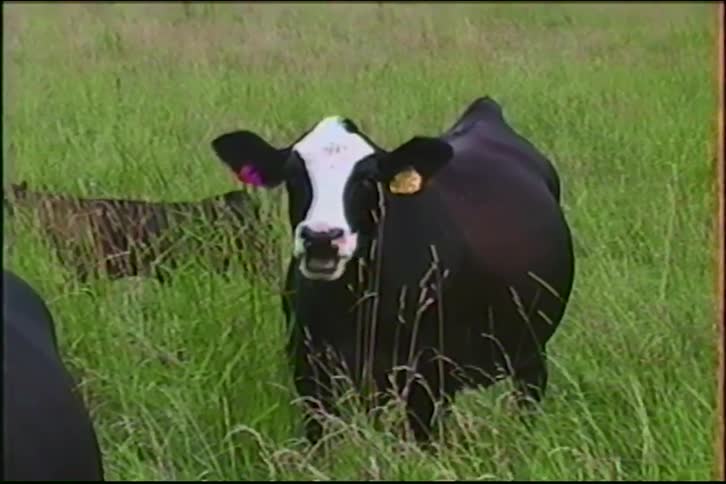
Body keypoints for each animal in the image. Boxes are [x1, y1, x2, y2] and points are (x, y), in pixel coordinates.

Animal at [210, 96, 575, 445]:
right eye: (294, 176)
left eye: (367, 179)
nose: (322, 238)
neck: (354, 305)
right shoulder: (309, 370)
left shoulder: (425, 376)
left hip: (530, 356)